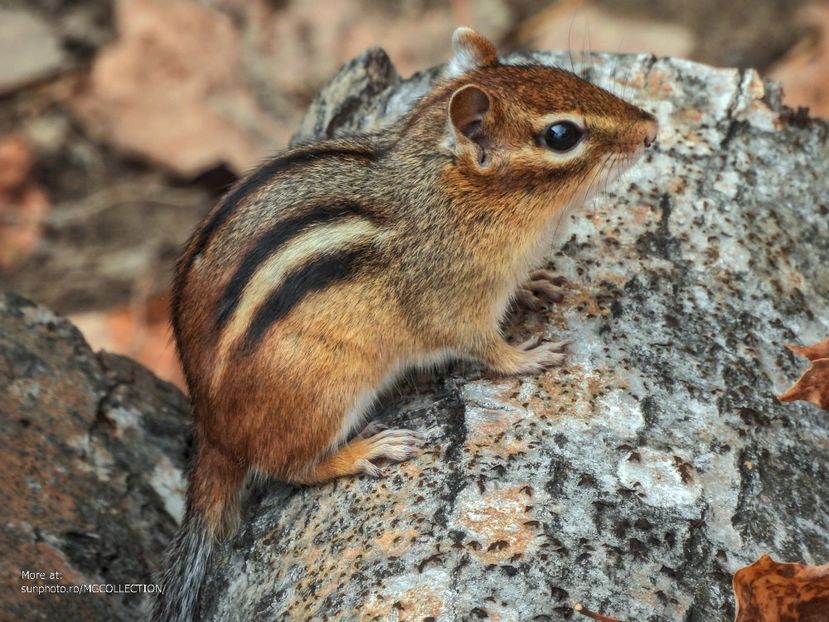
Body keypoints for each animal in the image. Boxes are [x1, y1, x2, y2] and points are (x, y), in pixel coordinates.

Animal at [152, 27, 657, 621]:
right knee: (288, 466)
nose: (652, 129)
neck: (454, 192)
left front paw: (535, 286)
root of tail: (211, 432)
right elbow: (486, 348)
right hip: (325, 390)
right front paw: (529, 357)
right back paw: (365, 451)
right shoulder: (454, 303)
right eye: (561, 135)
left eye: (567, 74)